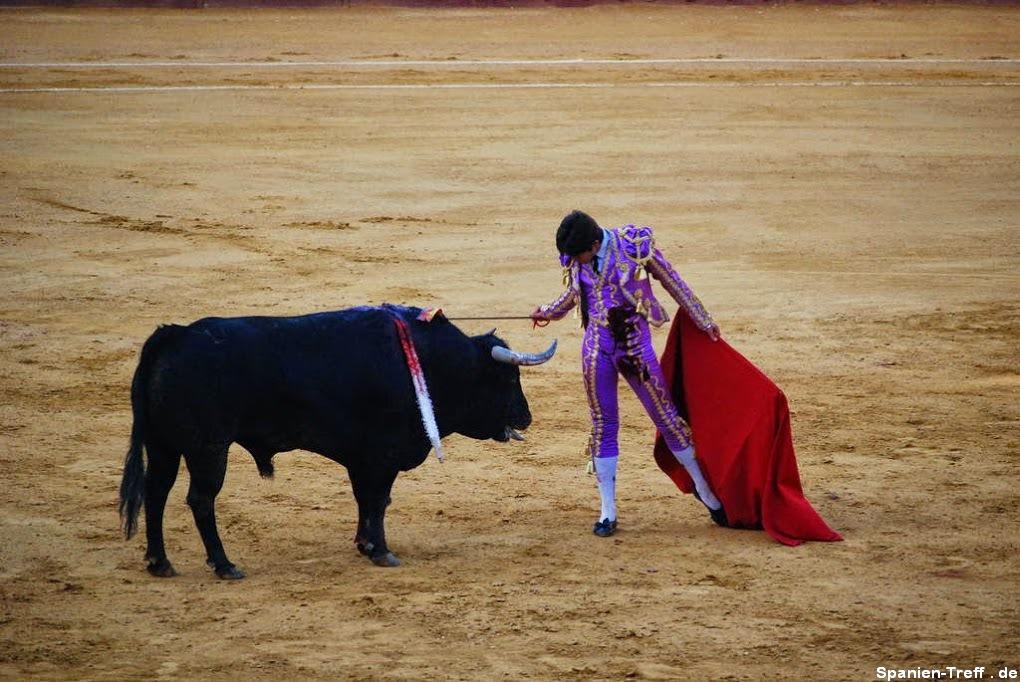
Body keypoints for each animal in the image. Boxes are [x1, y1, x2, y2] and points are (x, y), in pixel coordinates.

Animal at [117, 305, 558, 579]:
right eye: (507, 377)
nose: (527, 416)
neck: (430, 363)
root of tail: (173, 336)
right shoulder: (382, 456)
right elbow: (378, 501)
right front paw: (382, 551)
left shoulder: (362, 460)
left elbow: (366, 500)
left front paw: (365, 544)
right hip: (208, 448)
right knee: (200, 500)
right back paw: (224, 565)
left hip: (163, 445)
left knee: (156, 493)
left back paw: (159, 562)